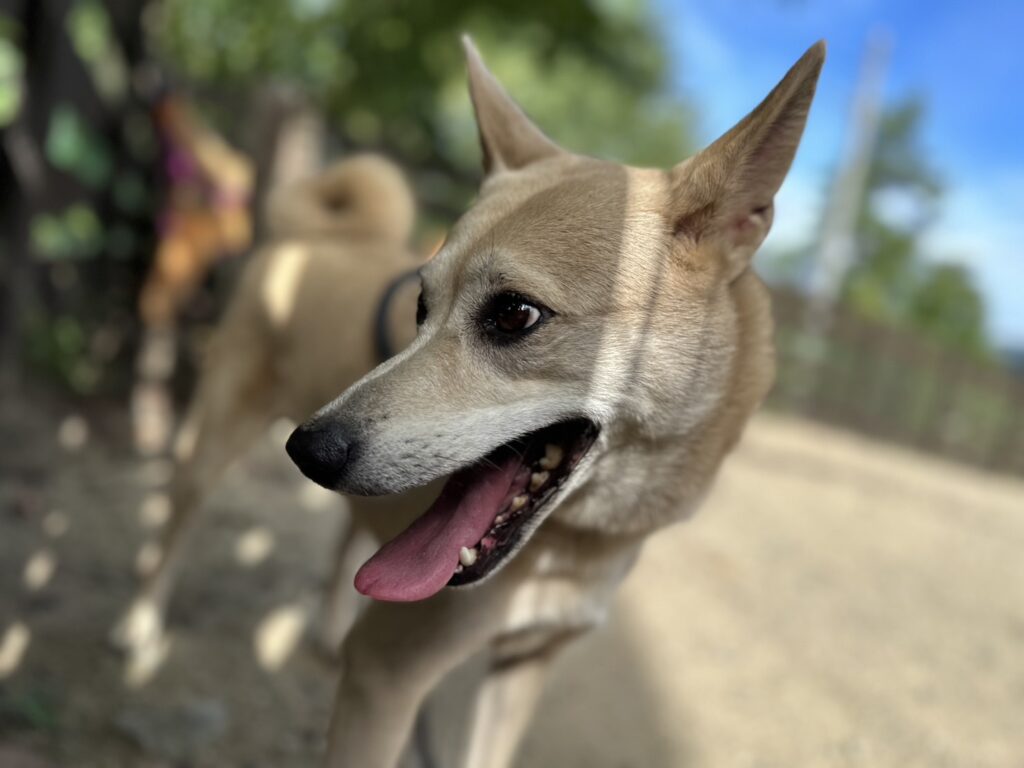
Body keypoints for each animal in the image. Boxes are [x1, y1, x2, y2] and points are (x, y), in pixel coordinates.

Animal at [284, 37, 826, 768]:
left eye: (514, 314)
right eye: (422, 307)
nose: (306, 450)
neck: (571, 551)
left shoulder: (524, 668)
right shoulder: (384, 668)